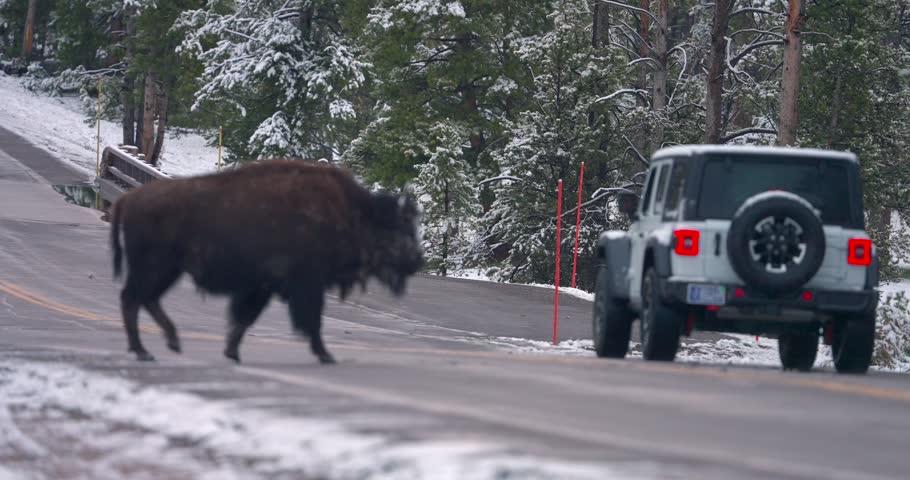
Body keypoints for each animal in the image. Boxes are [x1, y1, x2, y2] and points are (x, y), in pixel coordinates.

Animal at [110, 160, 423, 364]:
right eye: (400, 229)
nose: (417, 262)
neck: (353, 214)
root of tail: (130, 197)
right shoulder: (306, 284)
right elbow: (312, 320)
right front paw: (326, 355)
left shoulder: (262, 286)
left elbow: (245, 318)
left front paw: (232, 353)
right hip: (154, 268)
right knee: (132, 299)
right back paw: (143, 351)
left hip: (168, 271)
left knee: (146, 300)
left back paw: (170, 343)